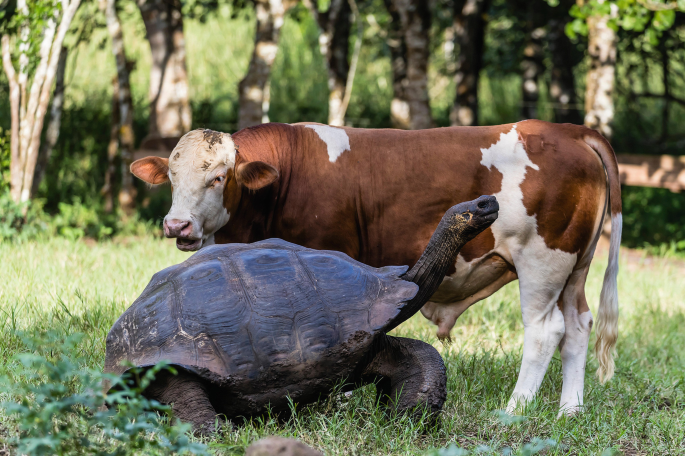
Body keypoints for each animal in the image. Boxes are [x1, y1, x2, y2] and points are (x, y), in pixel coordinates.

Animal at [132, 121, 620, 416]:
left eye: (218, 177)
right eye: (172, 177)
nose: (177, 225)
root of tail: (570, 130)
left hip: (542, 261)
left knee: (545, 331)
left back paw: (514, 409)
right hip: (574, 268)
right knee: (579, 326)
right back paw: (569, 409)